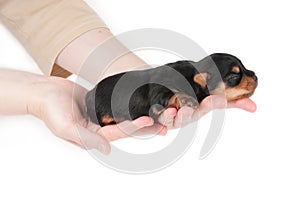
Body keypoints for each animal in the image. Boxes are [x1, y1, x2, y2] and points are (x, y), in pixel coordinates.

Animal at [86, 52, 258, 126]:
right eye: (234, 75)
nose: (256, 76)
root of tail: (88, 94)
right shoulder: (158, 90)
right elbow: (171, 93)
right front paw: (187, 100)